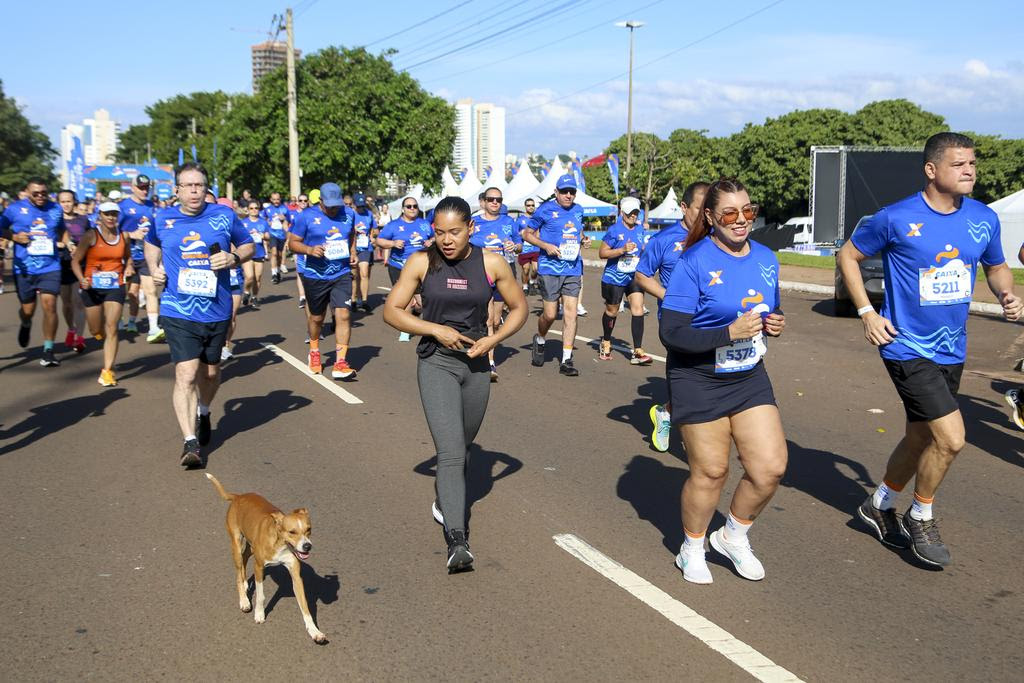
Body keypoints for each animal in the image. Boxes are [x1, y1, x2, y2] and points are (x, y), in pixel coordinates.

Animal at [203, 473, 323, 643]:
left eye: (309, 529)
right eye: (292, 532)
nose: (307, 546)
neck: (280, 544)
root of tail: (238, 496)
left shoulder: (296, 576)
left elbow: (305, 607)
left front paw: (315, 631)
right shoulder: (259, 568)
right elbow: (260, 596)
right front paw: (259, 614)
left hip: (251, 547)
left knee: (245, 557)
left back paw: (245, 584)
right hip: (236, 544)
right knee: (238, 572)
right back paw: (244, 601)